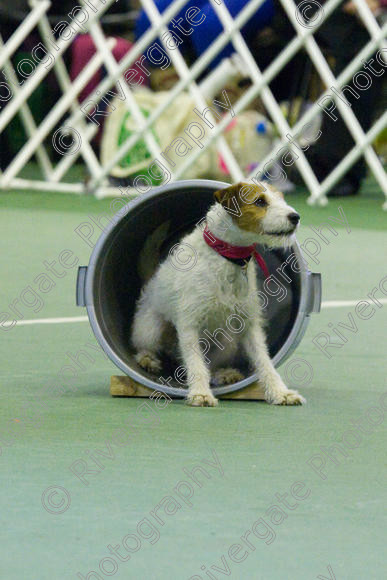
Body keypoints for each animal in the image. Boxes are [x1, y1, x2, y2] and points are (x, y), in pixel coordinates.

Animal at [131, 182, 306, 408]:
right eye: (260, 201)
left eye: (281, 198)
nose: (295, 216)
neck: (227, 257)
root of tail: (151, 280)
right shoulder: (189, 324)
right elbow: (196, 364)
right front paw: (200, 394)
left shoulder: (249, 325)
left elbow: (264, 362)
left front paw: (280, 393)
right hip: (150, 329)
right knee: (144, 348)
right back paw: (148, 360)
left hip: (228, 343)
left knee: (211, 365)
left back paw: (224, 374)